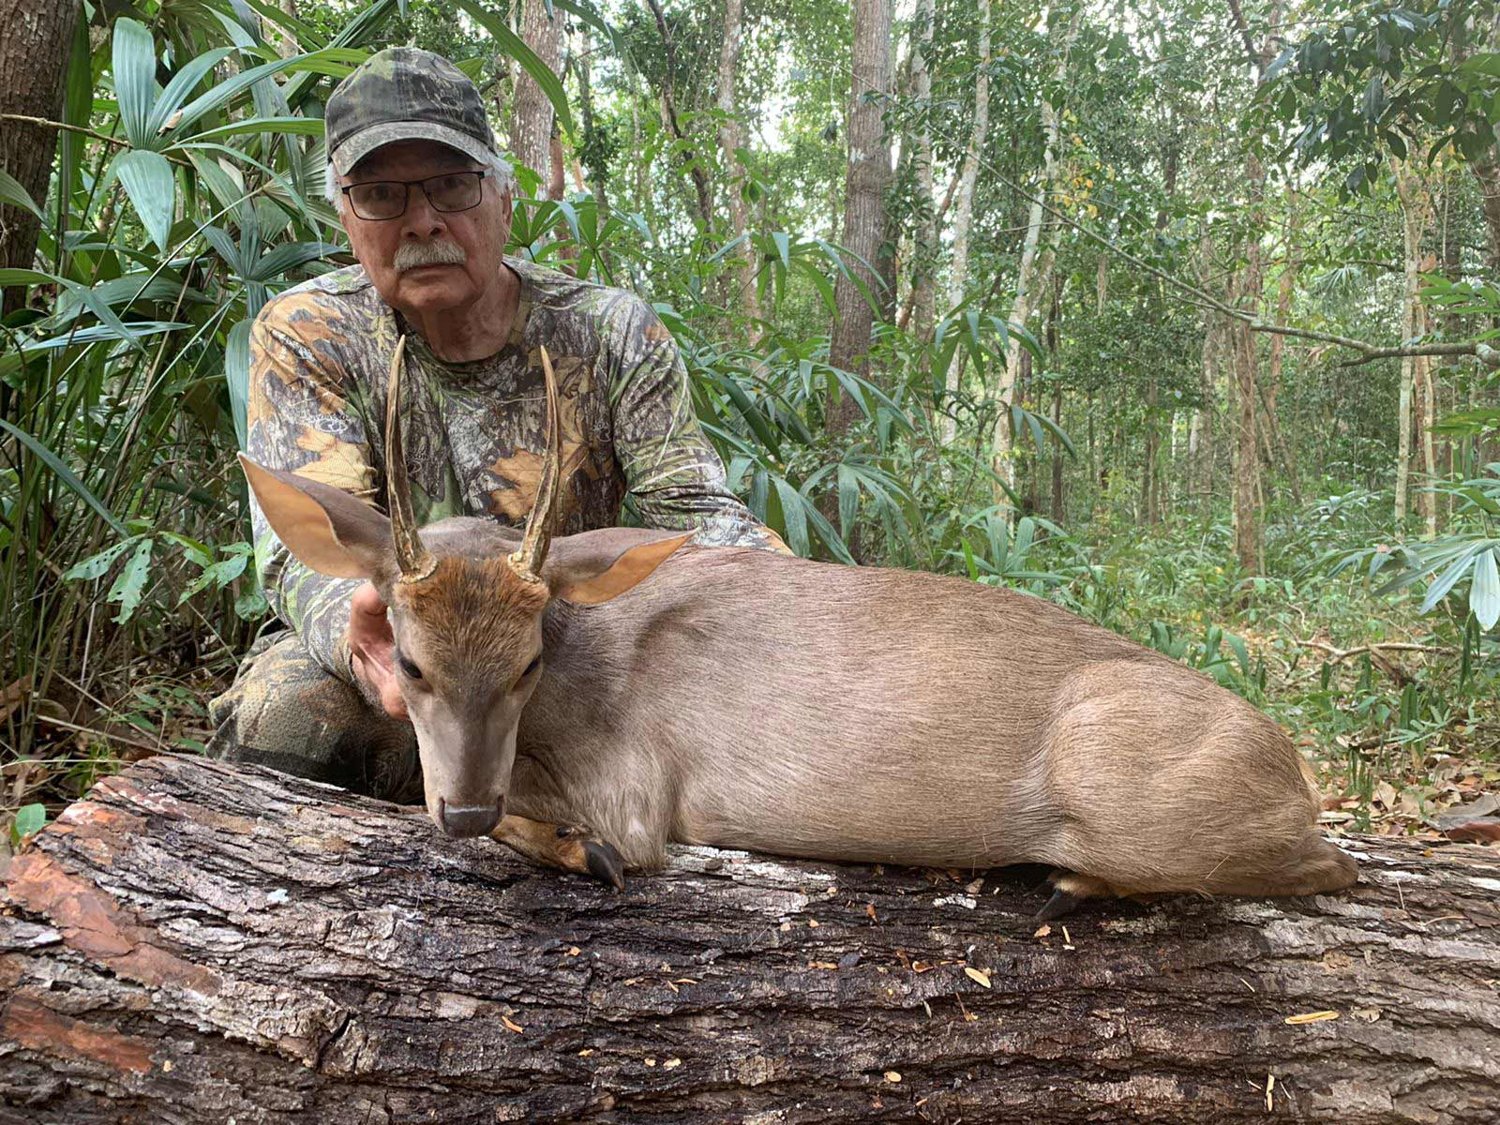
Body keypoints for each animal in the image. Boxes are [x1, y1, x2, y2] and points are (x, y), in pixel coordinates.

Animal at [239, 339, 1358, 920]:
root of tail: (1292, 769)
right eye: (410, 662)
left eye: (526, 662)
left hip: (1129, 783)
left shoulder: (633, 786)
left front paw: (577, 850)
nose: (464, 811)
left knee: (1325, 863)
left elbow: (610, 845)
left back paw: (1075, 874)